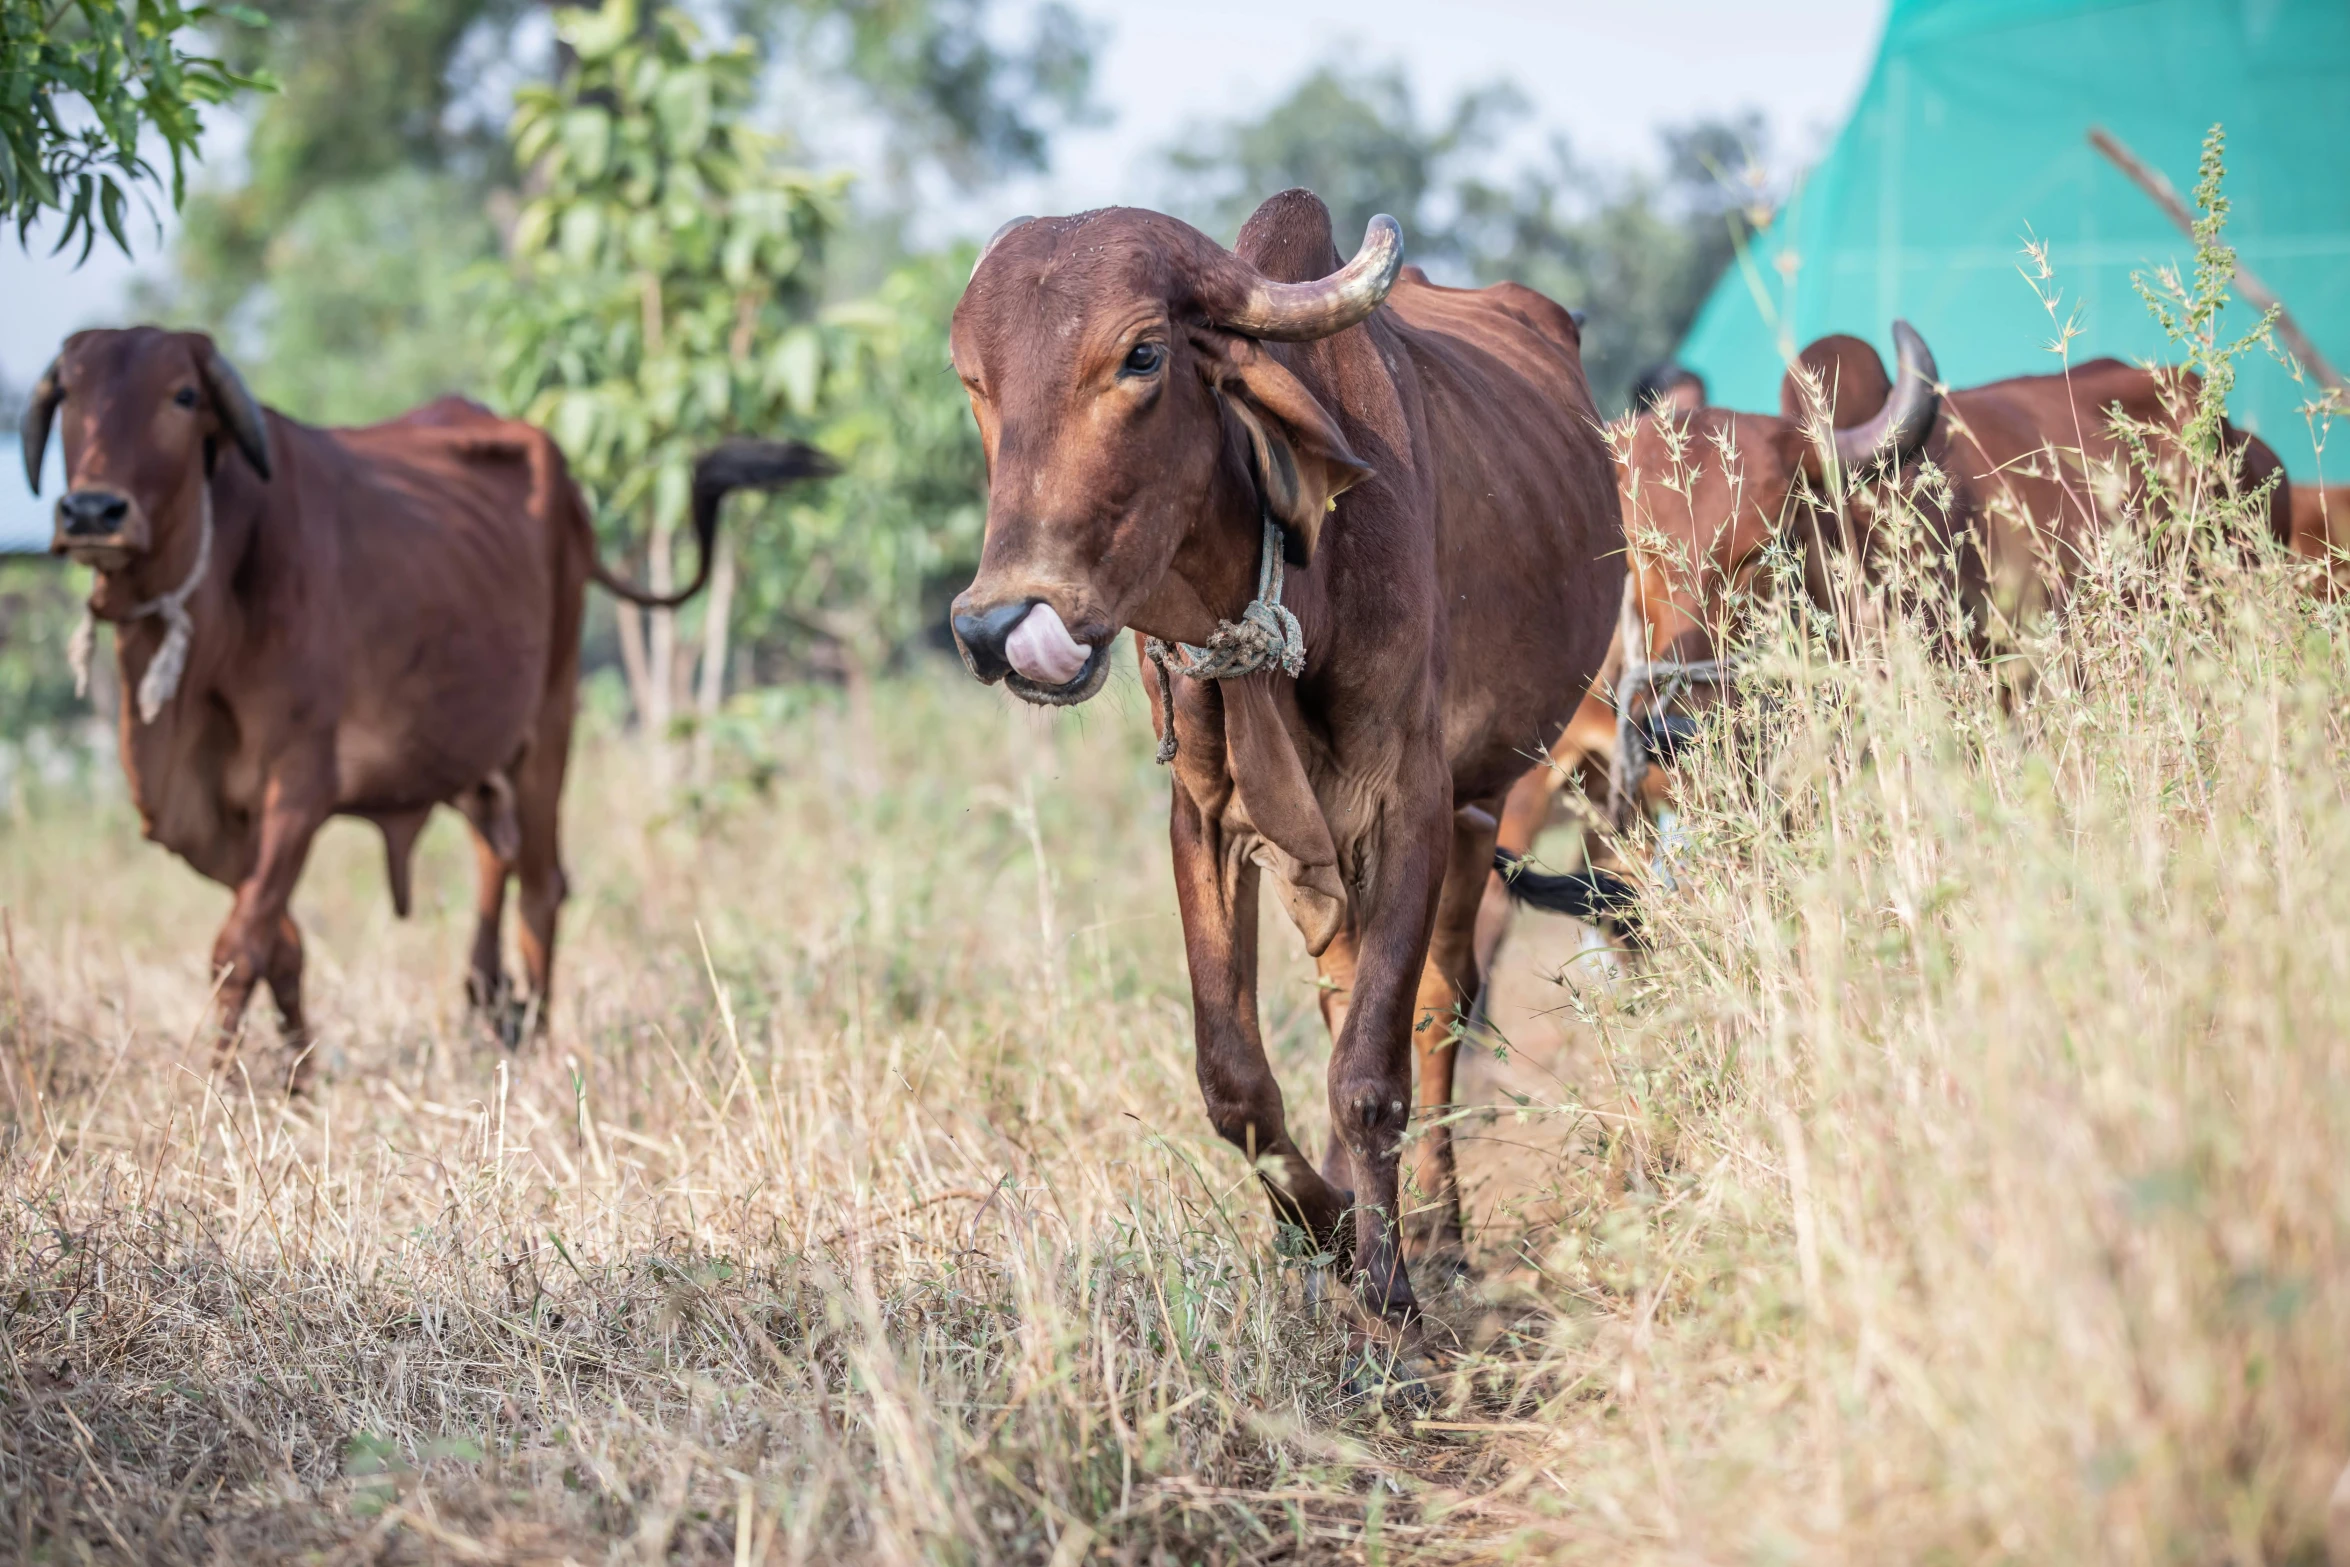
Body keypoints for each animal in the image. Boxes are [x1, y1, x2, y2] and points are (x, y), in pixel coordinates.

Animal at [22, 328, 831, 1090]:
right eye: (71, 394)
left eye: (183, 395)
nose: (91, 511)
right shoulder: (208, 819)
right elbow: (281, 940)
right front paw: (298, 1081)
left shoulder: (299, 784)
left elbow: (240, 944)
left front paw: (216, 1090)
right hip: (475, 755)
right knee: (495, 863)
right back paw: (494, 1005)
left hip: (549, 722)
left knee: (543, 887)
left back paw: (537, 1045)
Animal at [944, 190, 1626, 1353]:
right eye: (975, 382)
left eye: (1141, 354)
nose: (998, 626)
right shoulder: (1205, 820)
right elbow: (1237, 1083)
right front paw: (1328, 1230)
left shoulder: (1410, 806)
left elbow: (1370, 1071)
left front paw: (1388, 1290)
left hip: (1486, 801)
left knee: (1438, 1005)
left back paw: (1440, 1232)